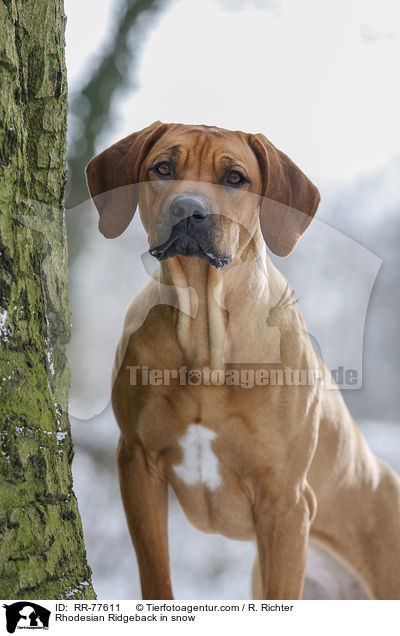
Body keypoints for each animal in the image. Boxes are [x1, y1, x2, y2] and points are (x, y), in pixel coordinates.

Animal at [85, 121, 400, 600]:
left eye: (234, 178)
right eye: (163, 168)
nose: (188, 209)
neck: (204, 336)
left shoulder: (284, 502)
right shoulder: (137, 462)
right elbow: (156, 575)